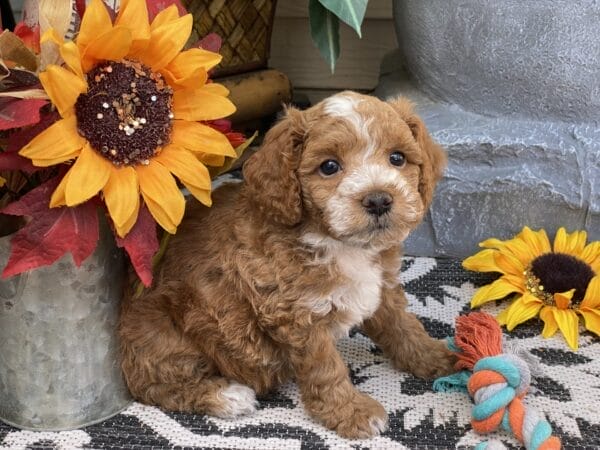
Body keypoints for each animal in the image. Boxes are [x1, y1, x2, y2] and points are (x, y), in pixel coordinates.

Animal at [118, 89, 454, 438]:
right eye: (329, 166)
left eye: (397, 158)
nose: (378, 200)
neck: (339, 242)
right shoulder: (295, 313)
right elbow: (325, 369)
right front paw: (353, 412)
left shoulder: (381, 287)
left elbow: (403, 326)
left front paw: (436, 356)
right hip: (165, 334)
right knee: (154, 385)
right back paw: (226, 396)